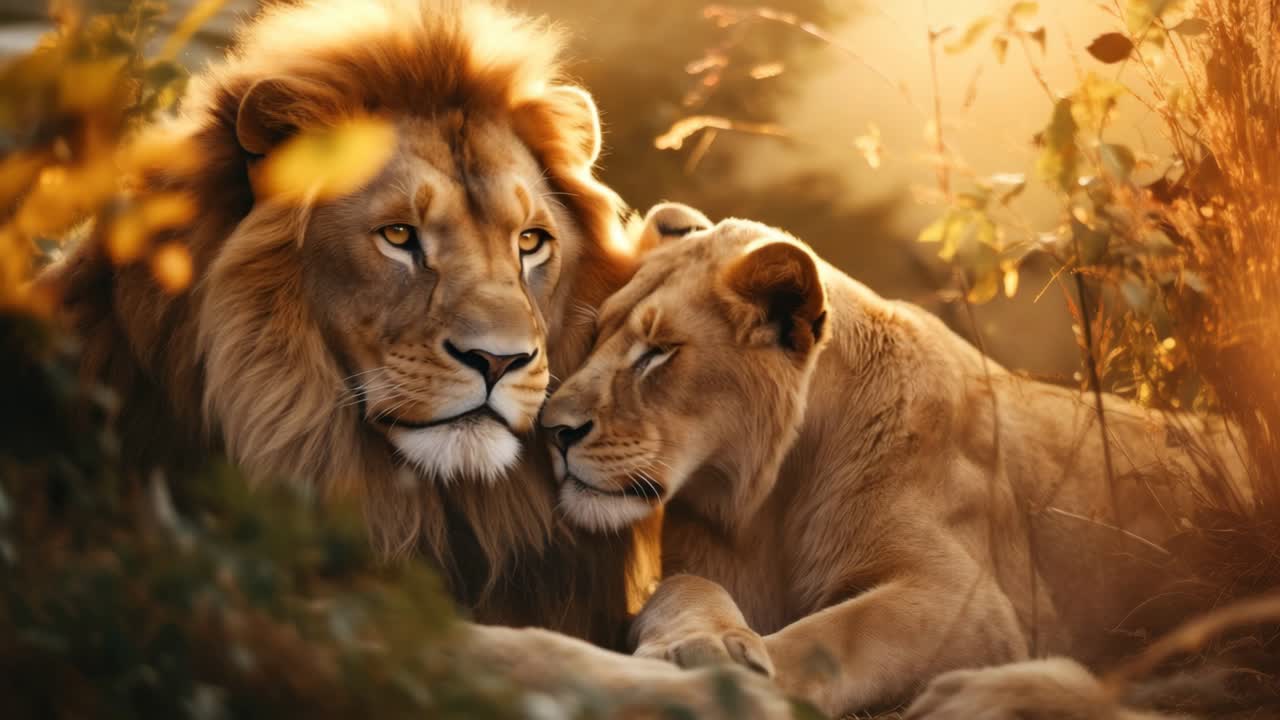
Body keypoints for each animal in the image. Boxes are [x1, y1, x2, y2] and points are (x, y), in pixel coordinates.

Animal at [540, 204, 1247, 717]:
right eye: (598, 334)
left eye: (659, 352)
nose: (552, 430)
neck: (767, 503)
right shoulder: (705, 560)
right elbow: (681, 589)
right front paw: (698, 643)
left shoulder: (972, 603)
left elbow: (833, 636)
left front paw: (723, 680)